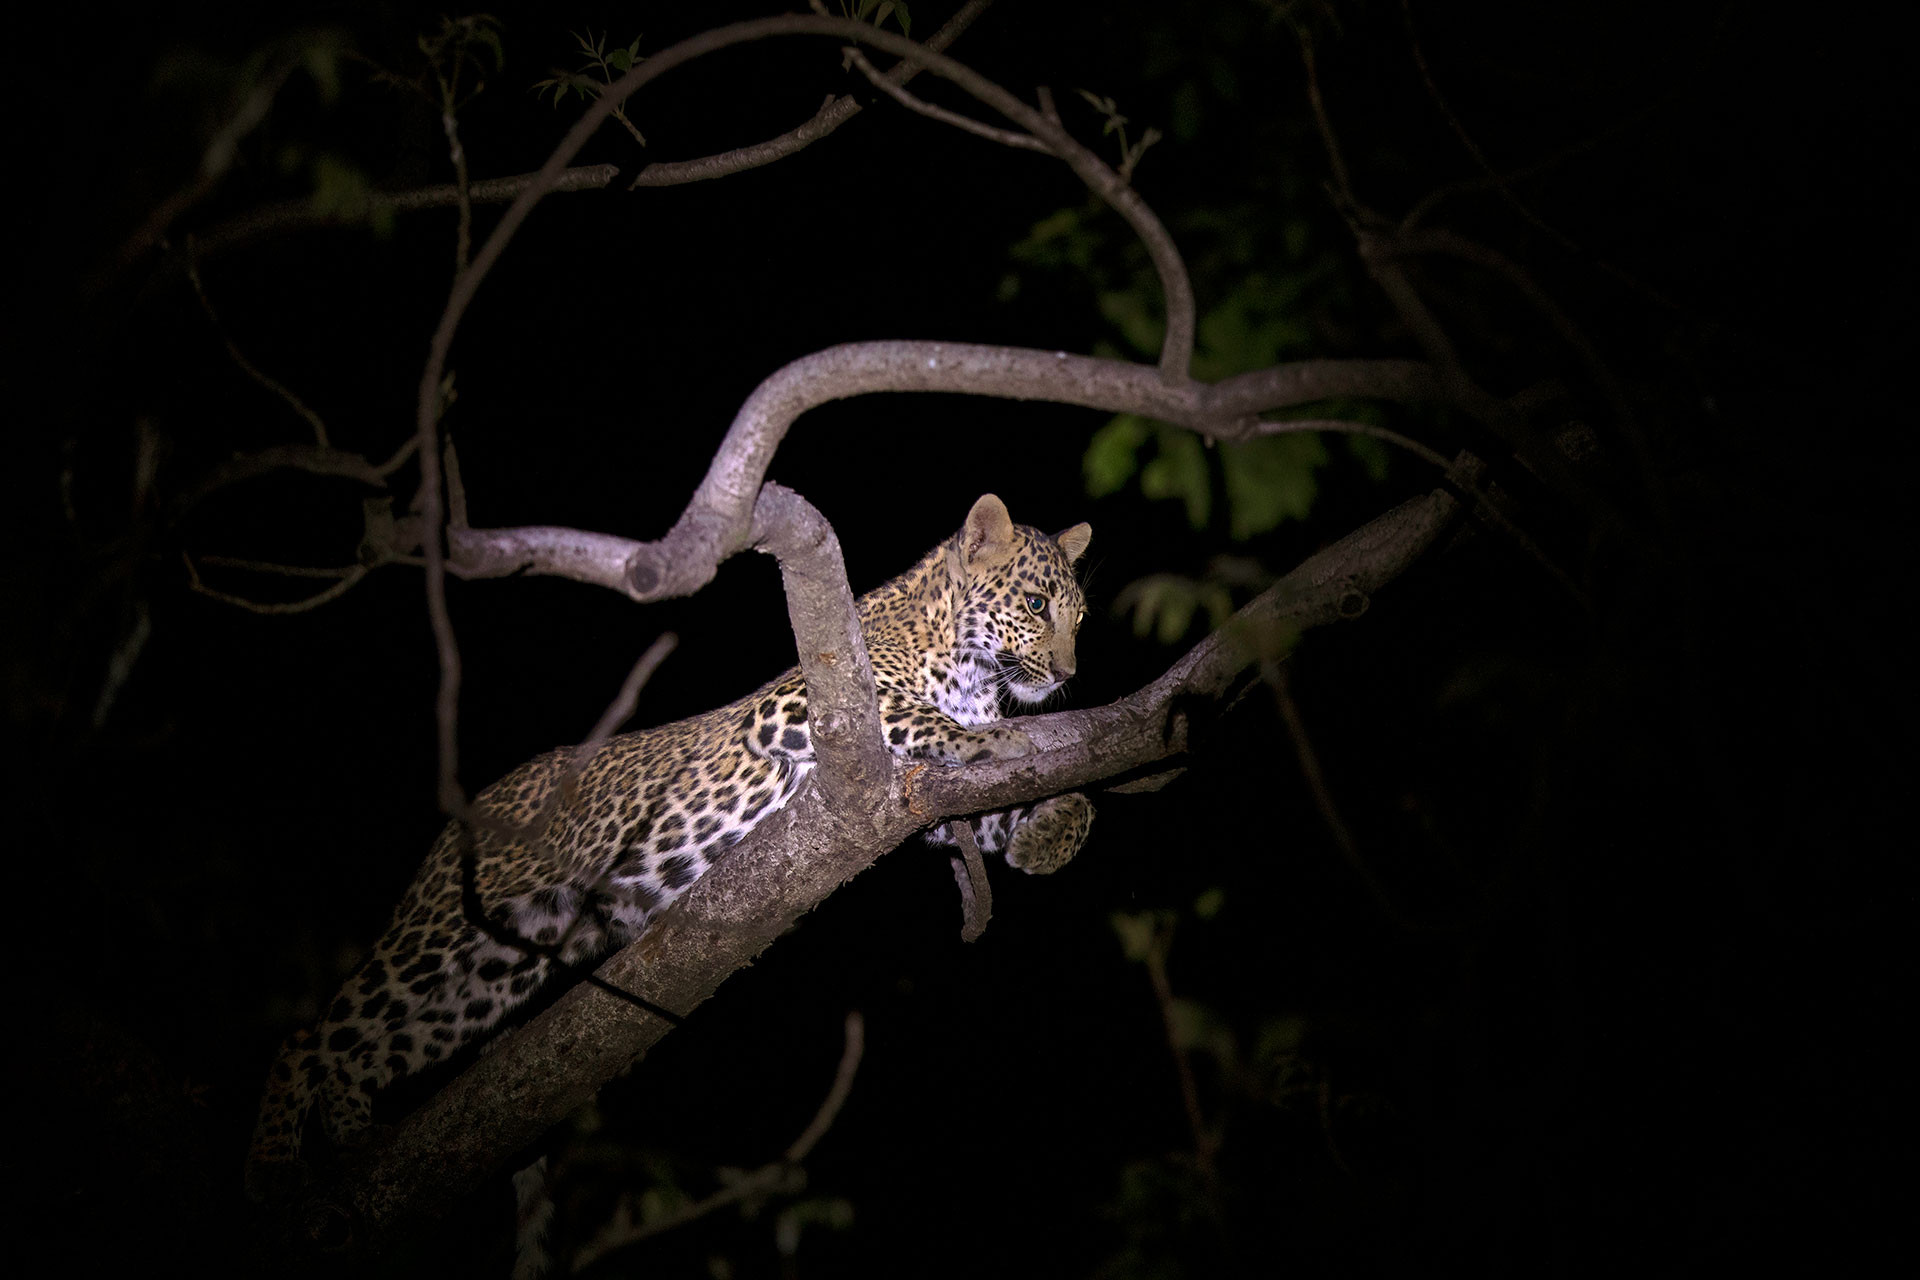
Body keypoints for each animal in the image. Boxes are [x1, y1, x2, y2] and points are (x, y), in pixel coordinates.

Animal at [245, 493, 1094, 1201]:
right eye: (1035, 603)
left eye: (1079, 617)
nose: (1064, 675)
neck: (973, 670)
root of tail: (472, 811)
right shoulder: (790, 706)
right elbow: (927, 720)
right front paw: (991, 745)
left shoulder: (932, 801)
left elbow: (1017, 807)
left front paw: (1051, 831)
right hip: (440, 933)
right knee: (310, 1035)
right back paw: (279, 1165)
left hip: (492, 970)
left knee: (366, 1048)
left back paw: (354, 1139)